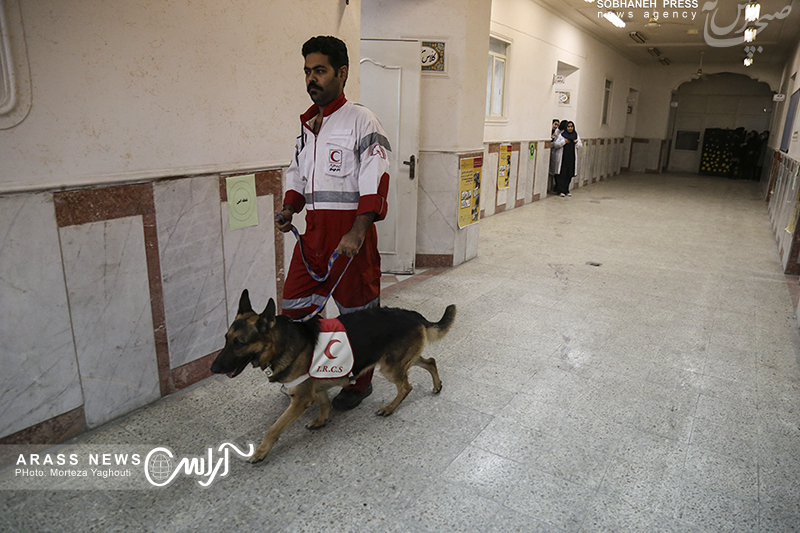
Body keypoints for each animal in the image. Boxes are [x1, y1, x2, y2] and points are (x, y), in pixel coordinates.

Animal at [209, 290, 456, 462]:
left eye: (239, 343)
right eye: (225, 339)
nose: (213, 368)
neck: (283, 343)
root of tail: (414, 315)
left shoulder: (300, 400)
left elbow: (274, 428)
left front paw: (261, 451)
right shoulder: (314, 387)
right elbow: (324, 403)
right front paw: (321, 420)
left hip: (390, 366)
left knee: (406, 387)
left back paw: (390, 408)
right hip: (402, 359)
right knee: (430, 361)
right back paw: (437, 385)